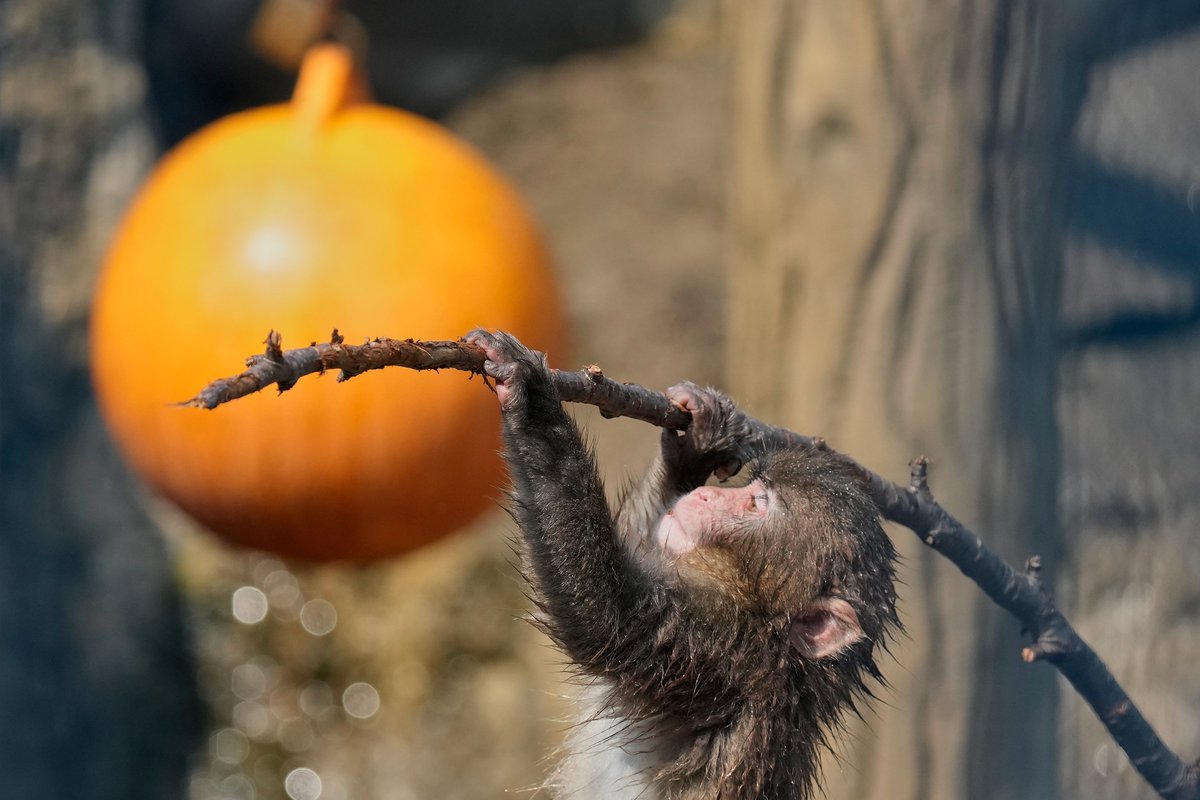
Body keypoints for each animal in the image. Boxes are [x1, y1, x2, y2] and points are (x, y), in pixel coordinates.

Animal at [465, 330, 899, 800]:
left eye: (757, 504)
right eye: (754, 487)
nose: (708, 495)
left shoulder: (719, 648)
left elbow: (605, 614)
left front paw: (530, 392)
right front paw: (697, 446)